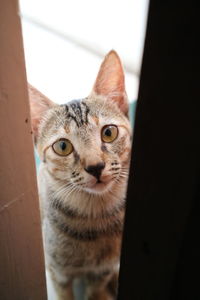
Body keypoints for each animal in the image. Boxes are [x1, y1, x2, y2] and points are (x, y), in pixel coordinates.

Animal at [28, 51, 131, 300]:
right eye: (63, 146)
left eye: (109, 132)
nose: (95, 167)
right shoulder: (58, 273)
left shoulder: (102, 271)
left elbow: (95, 292)